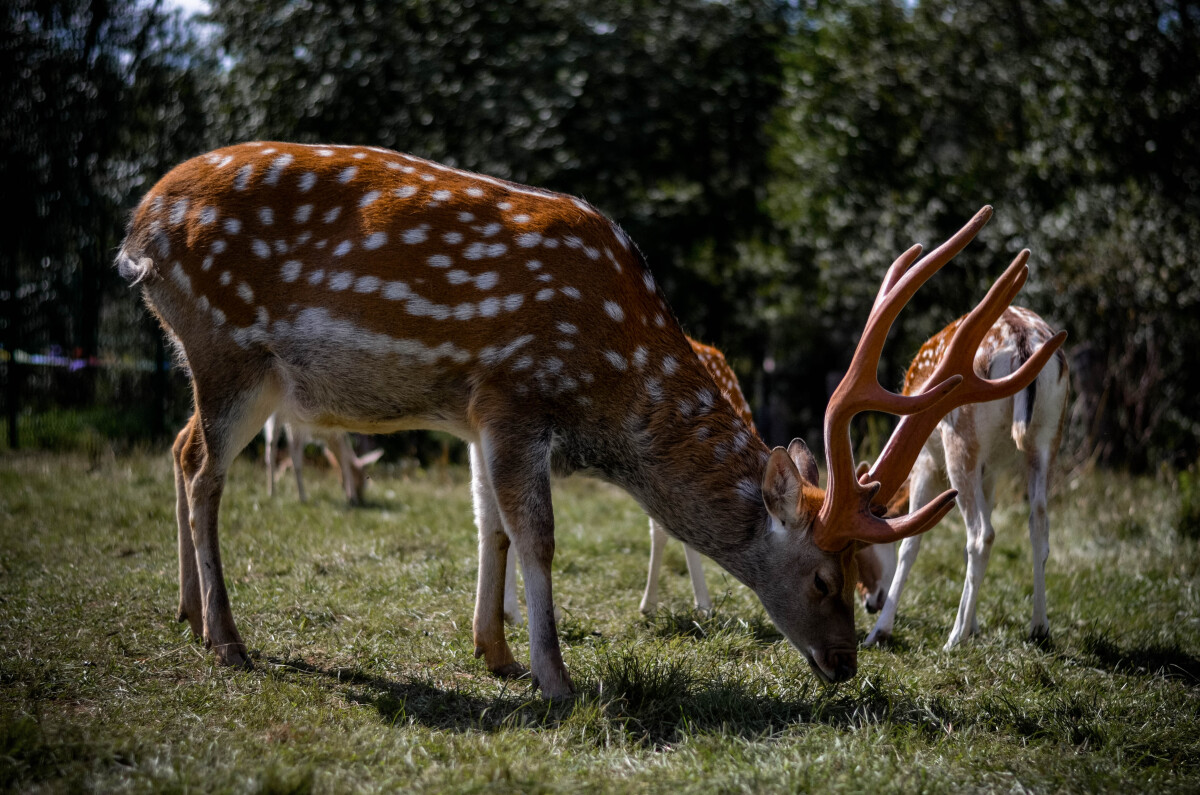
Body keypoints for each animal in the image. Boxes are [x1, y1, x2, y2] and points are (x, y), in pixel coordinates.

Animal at [859, 307, 1075, 653]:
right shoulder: (991, 469)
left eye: (858, 549)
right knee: (1038, 525)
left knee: (981, 534)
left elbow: (910, 543)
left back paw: (953, 639)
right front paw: (973, 624)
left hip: (961, 435)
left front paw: (880, 631)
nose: (868, 603)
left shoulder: (926, 461)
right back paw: (1039, 629)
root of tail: (1022, 341)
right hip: (1048, 435)